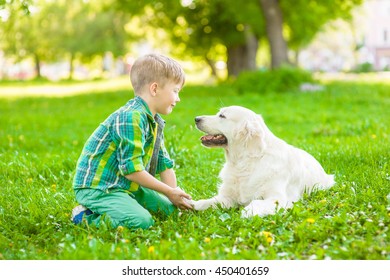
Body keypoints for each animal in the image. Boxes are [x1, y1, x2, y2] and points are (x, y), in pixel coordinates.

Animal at [190, 106, 334, 218]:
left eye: (222, 116)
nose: (196, 118)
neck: (244, 162)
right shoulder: (227, 197)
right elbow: (206, 202)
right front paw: (194, 205)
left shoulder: (278, 198)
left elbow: (256, 203)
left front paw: (247, 211)